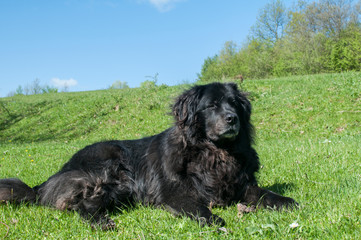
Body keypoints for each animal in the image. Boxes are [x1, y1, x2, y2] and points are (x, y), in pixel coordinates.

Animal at [0, 83, 296, 230]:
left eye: (234, 104)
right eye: (211, 106)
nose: (232, 118)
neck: (212, 153)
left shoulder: (241, 184)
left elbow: (265, 194)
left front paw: (287, 202)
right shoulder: (173, 193)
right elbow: (198, 207)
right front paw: (214, 221)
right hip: (113, 172)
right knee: (82, 205)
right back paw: (102, 223)